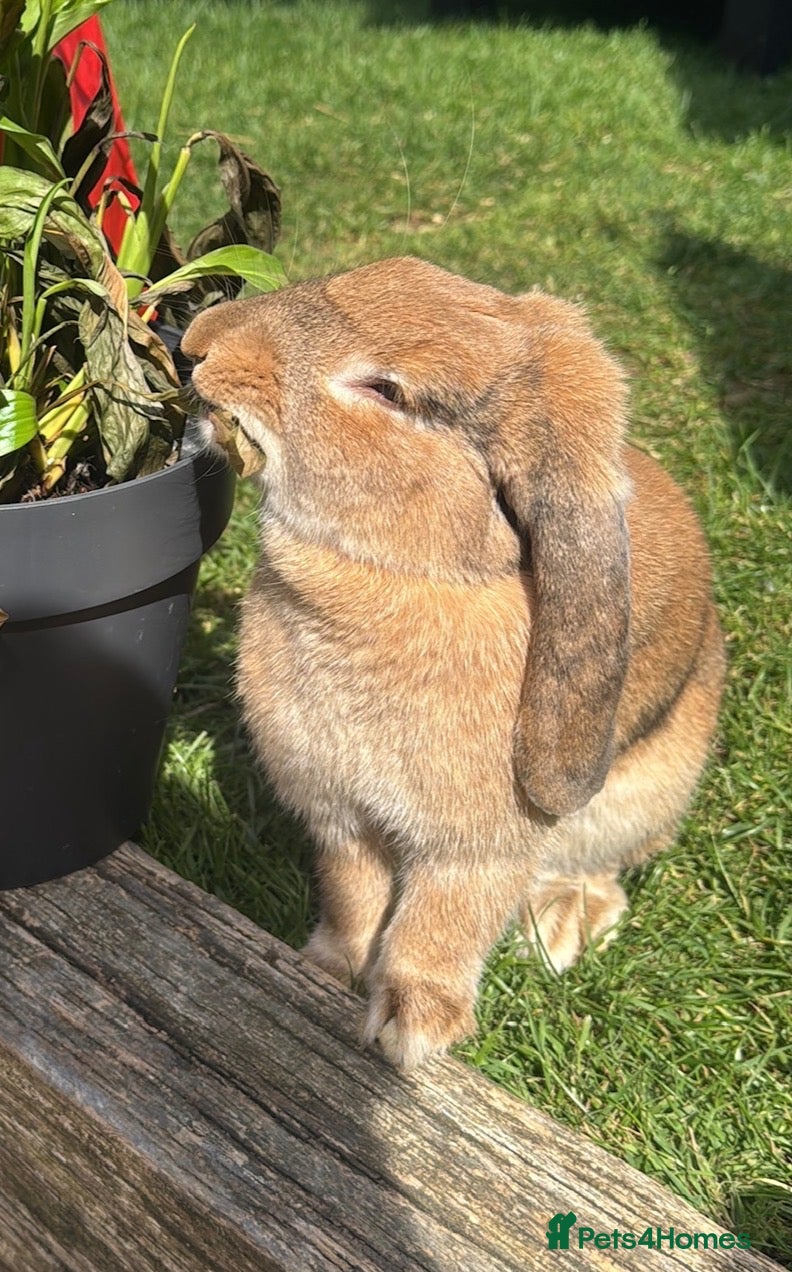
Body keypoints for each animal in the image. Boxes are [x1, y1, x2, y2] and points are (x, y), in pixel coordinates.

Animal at [182, 256, 726, 1071]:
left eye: (388, 391)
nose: (198, 342)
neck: (405, 575)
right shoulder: (341, 816)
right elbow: (354, 897)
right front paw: (329, 969)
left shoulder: (476, 849)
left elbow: (440, 927)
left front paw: (411, 1031)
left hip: (638, 794)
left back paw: (558, 927)